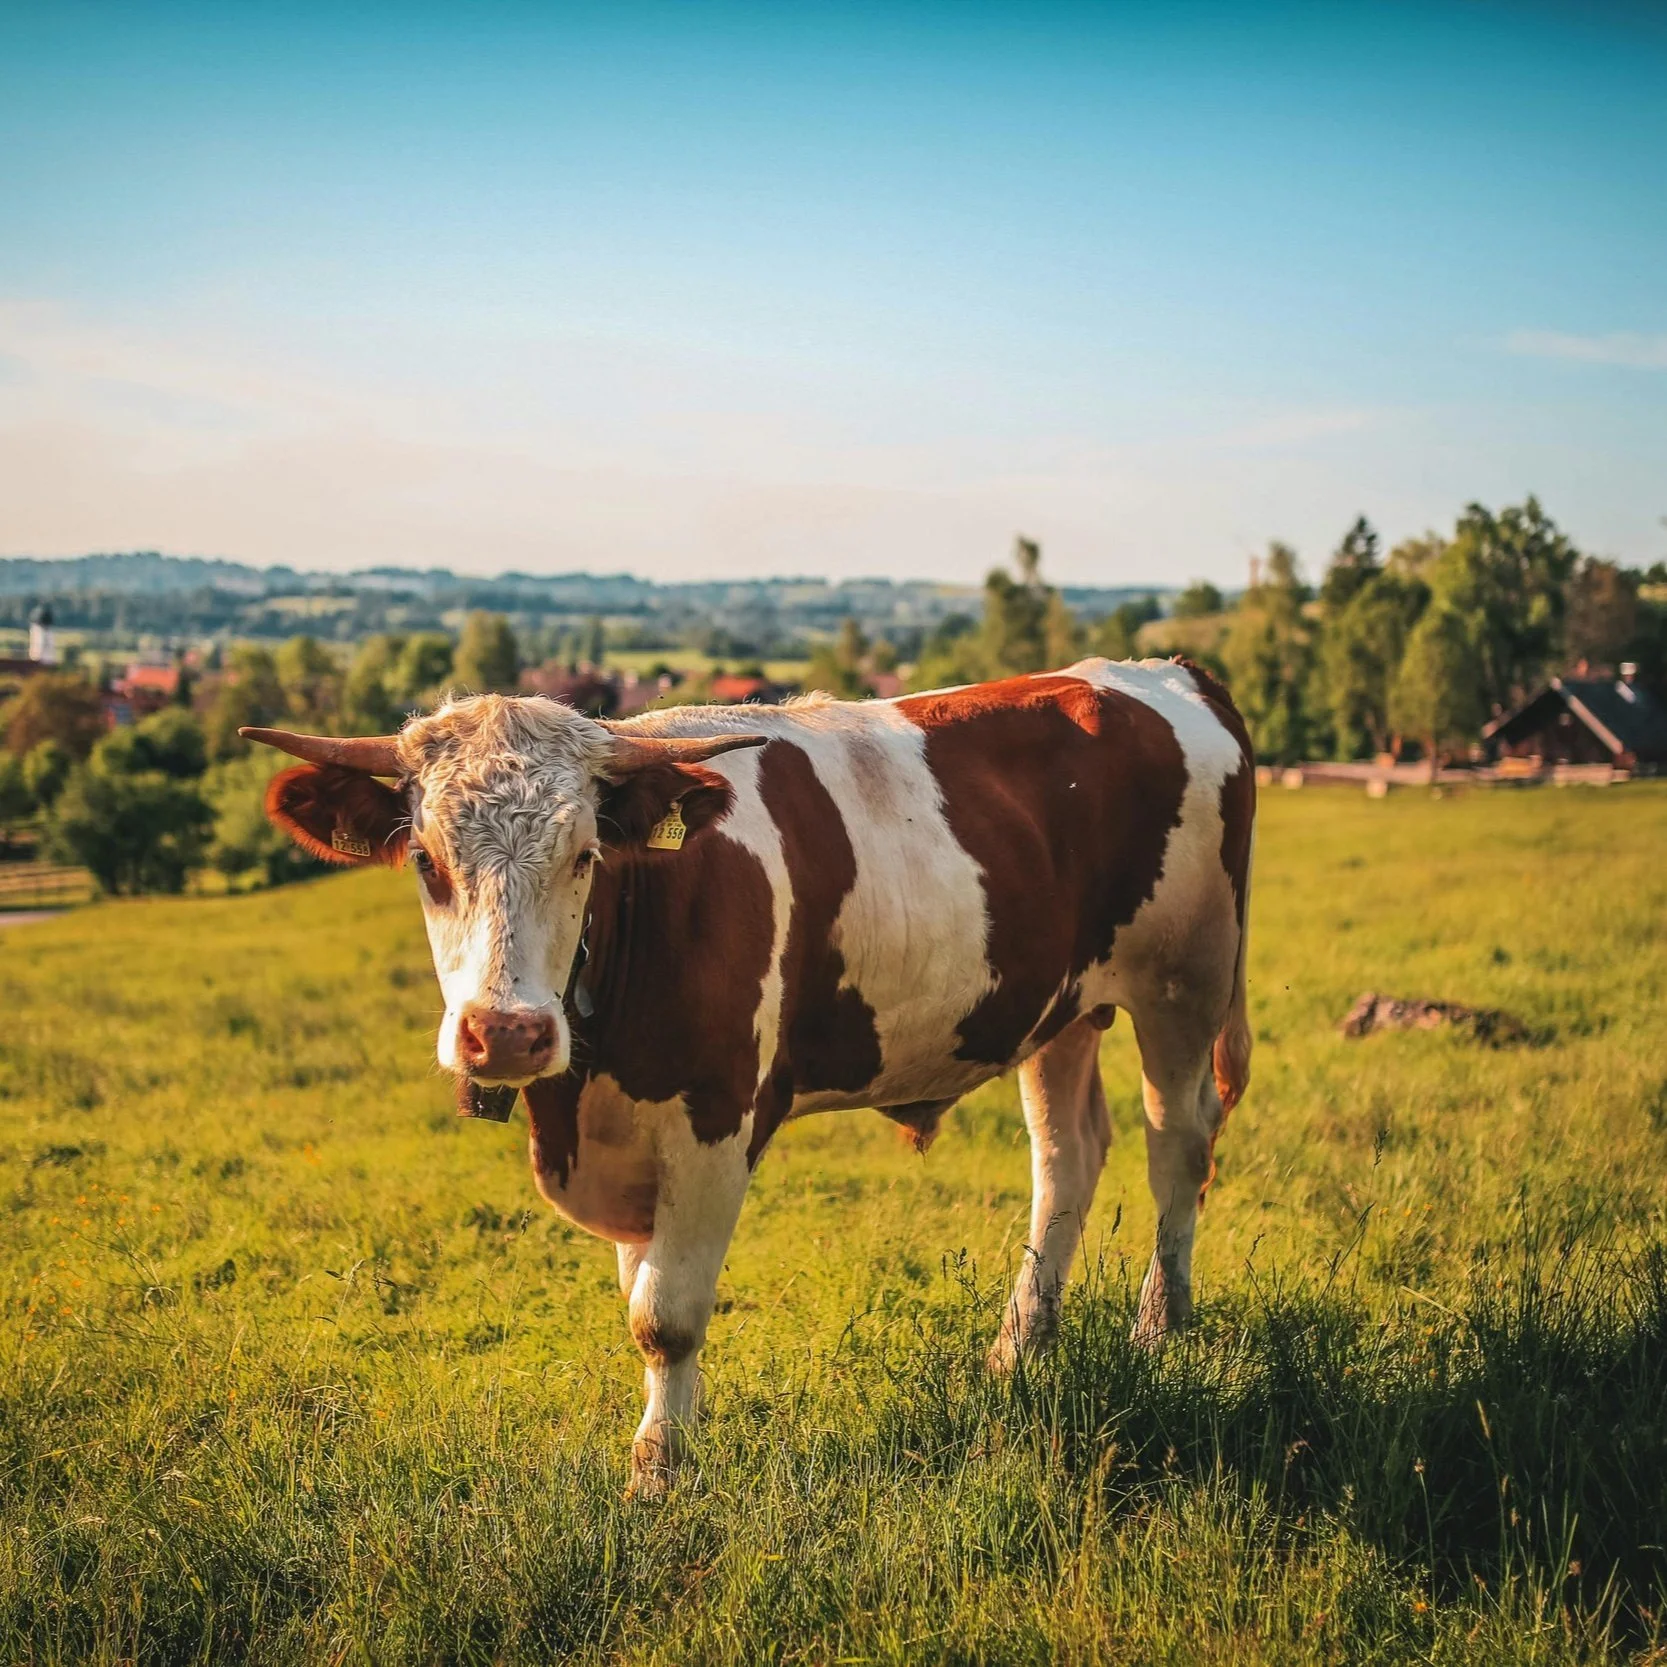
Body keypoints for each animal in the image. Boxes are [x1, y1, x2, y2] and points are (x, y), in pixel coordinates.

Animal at [244, 657, 1254, 1494]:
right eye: (425, 860)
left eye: (583, 854)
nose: (507, 1032)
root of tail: (1161, 670)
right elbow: (640, 1293)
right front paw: (667, 1438)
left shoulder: (715, 1118)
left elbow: (666, 1315)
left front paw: (660, 1470)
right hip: (1061, 1008)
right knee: (1066, 1156)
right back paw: (1020, 1346)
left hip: (1185, 979)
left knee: (1177, 1142)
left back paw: (1161, 1326)